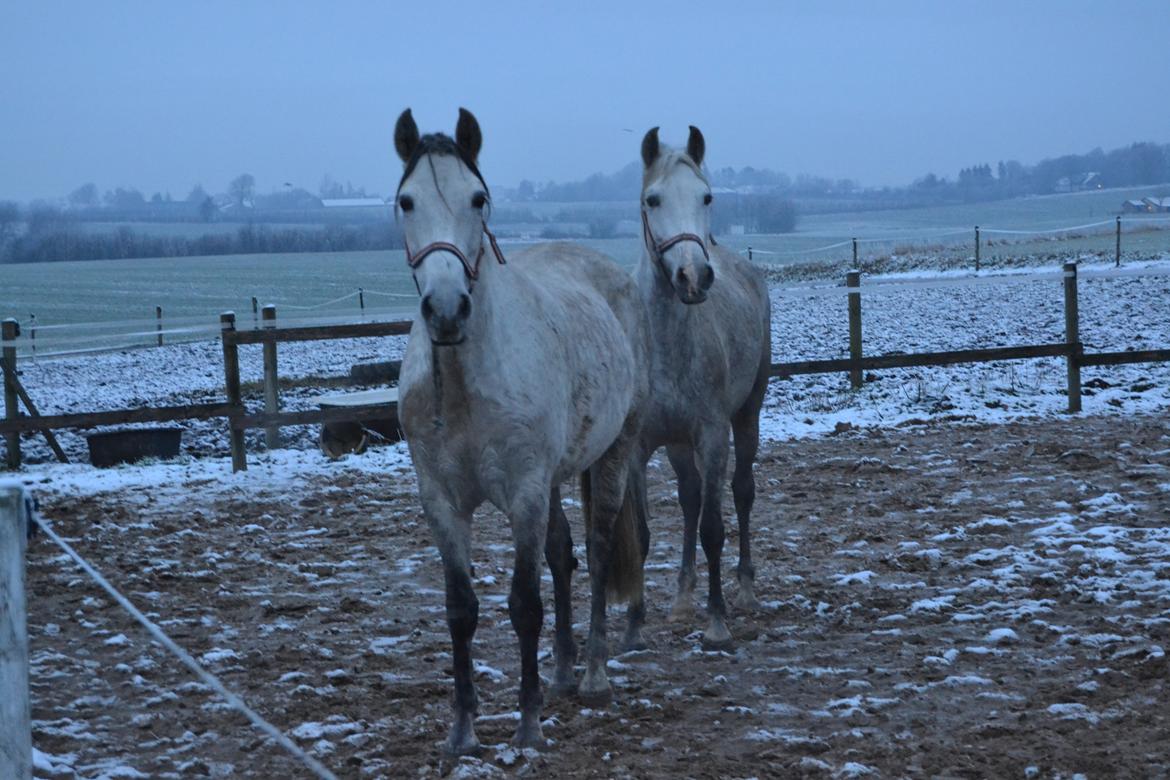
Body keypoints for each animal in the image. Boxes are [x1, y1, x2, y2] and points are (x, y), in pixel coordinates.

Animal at [393, 109, 650, 757]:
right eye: (406, 201)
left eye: (477, 198)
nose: (446, 309)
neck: (467, 382)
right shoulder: (441, 501)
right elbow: (462, 609)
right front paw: (462, 731)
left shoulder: (525, 492)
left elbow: (524, 604)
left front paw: (529, 725)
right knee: (563, 553)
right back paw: (561, 670)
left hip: (612, 453)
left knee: (599, 550)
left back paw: (593, 675)